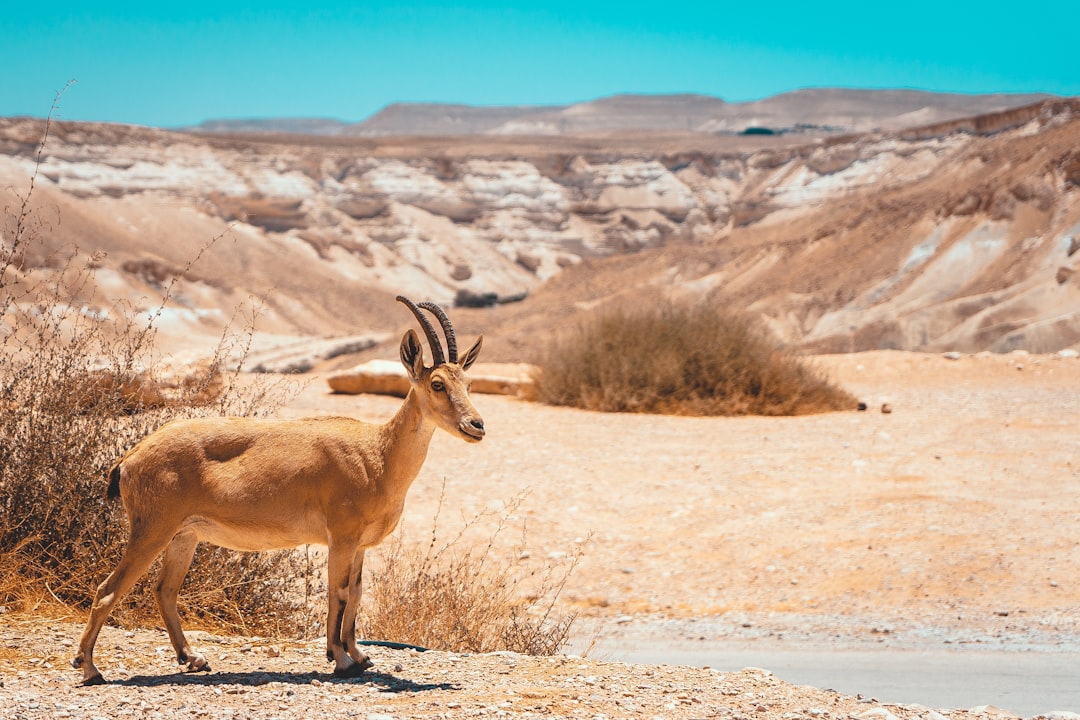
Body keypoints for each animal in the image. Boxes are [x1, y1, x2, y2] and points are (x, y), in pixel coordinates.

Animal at [73, 295, 483, 686]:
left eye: (468, 383)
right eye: (437, 384)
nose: (475, 425)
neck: (378, 454)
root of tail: (130, 458)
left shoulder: (361, 546)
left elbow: (356, 594)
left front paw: (359, 655)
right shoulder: (341, 538)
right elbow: (338, 592)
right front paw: (341, 659)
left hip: (183, 536)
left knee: (165, 590)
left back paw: (193, 658)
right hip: (152, 529)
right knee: (108, 590)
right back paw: (90, 669)